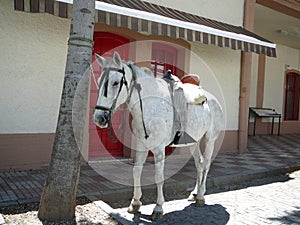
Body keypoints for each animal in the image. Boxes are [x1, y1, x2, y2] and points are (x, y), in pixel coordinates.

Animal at [92, 51, 224, 220]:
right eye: (99, 81)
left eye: (115, 83)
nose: (99, 118)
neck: (150, 106)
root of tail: (211, 98)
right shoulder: (141, 146)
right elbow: (136, 172)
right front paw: (135, 203)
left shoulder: (159, 150)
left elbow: (158, 177)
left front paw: (158, 208)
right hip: (192, 142)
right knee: (199, 163)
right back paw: (195, 193)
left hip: (210, 139)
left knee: (206, 163)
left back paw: (201, 196)